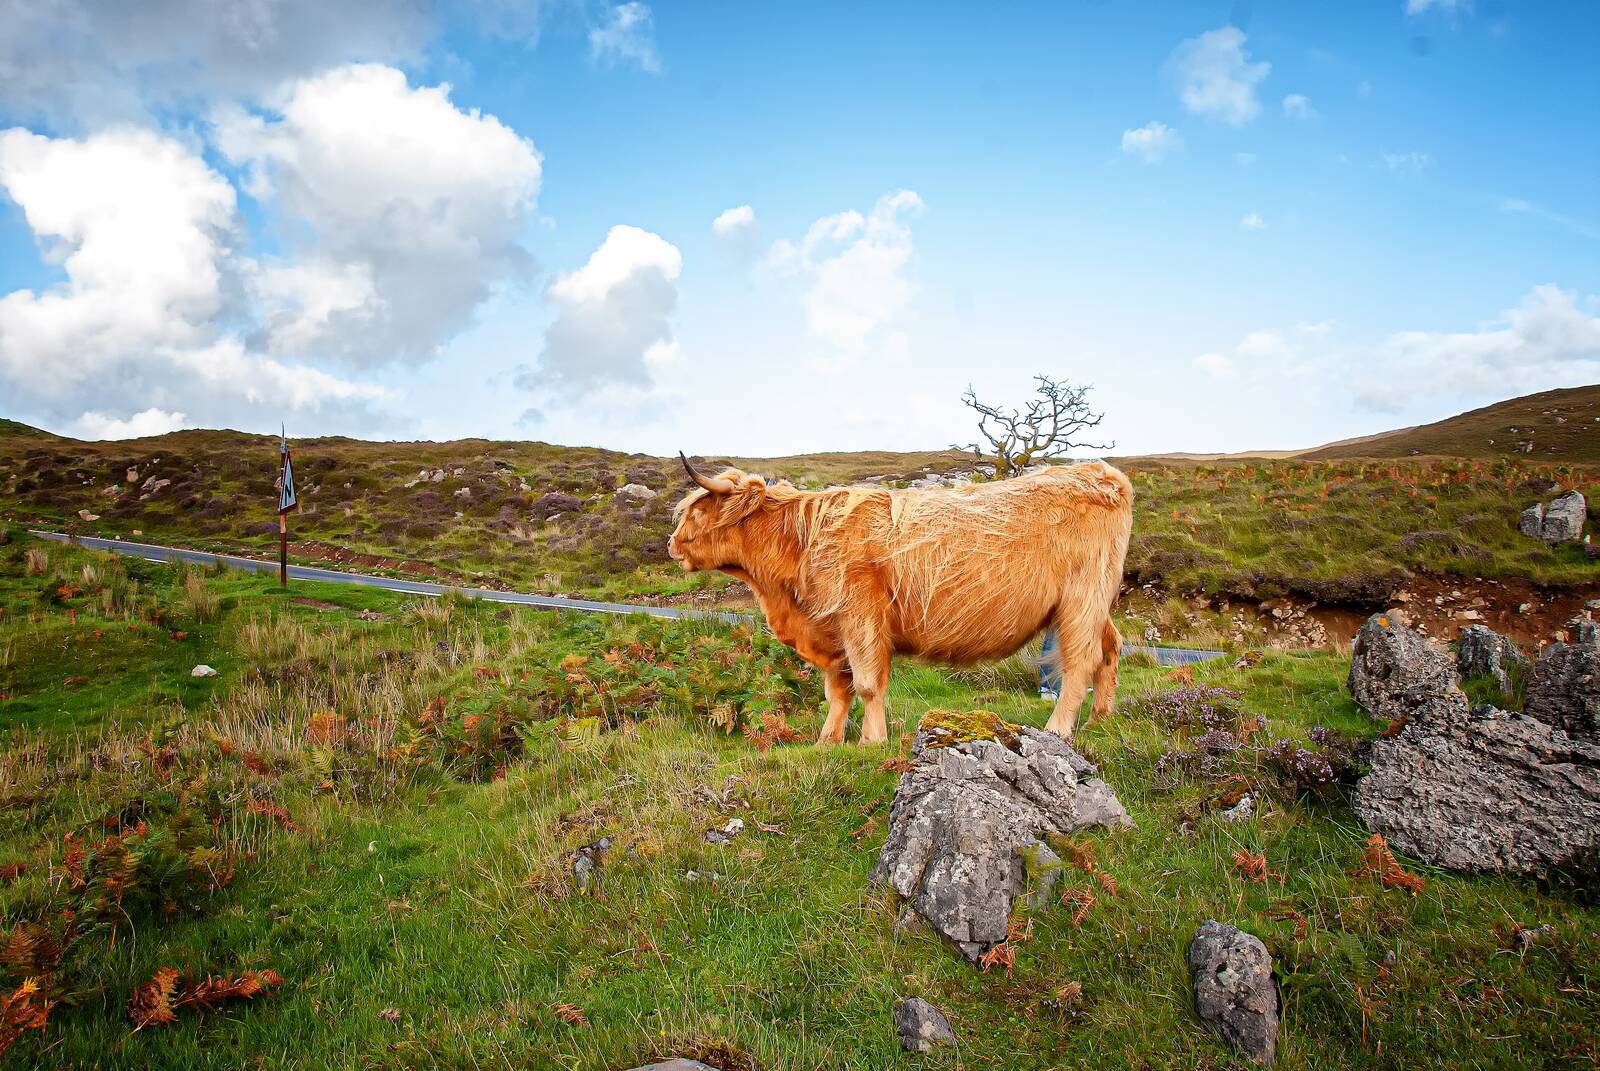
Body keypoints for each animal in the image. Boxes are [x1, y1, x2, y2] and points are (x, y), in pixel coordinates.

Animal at [667, 455, 1133, 743]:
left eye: (697, 512)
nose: (671, 545)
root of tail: (1104, 473)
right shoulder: (832, 628)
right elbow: (838, 690)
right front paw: (827, 741)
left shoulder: (859, 617)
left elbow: (868, 685)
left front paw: (871, 740)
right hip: (1094, 603)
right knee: (1111, 647)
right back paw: (1101, 718)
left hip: (1081, 599)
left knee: (1080, 661)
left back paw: (1059, 729)